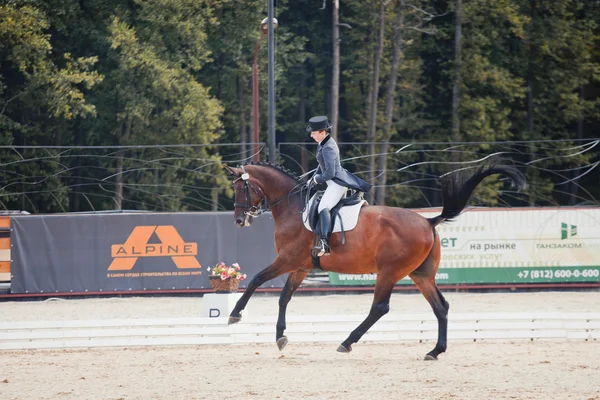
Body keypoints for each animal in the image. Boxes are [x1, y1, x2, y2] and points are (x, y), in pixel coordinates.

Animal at [224, 161, 524, 360]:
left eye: (240, 189)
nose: (238, 220)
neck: (293, 207)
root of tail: (428, 221)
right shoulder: (301, 266)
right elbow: (284, 297)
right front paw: (280, 337)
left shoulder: (287, 259)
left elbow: (257, 279)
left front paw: (235, 314)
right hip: (420, 275)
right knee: (440, 307)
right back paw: (435, 351)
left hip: (389, 272)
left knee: (380, 307)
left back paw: (347, 342)